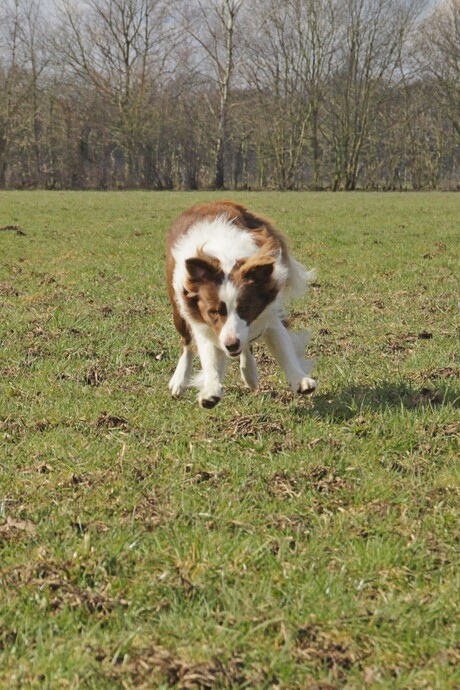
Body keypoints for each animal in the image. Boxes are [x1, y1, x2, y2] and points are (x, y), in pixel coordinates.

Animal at [166, 199, 316, 406]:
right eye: (213, 312)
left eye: (245, 308)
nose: (231, 345)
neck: (226, 260)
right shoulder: (203, 321)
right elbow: (209, 355)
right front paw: (211, 389)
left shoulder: (269, 313)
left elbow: (283, 347)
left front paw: (300, 379)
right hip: (178, 311)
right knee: (187, 342)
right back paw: (179, 380)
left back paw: (249, 373)